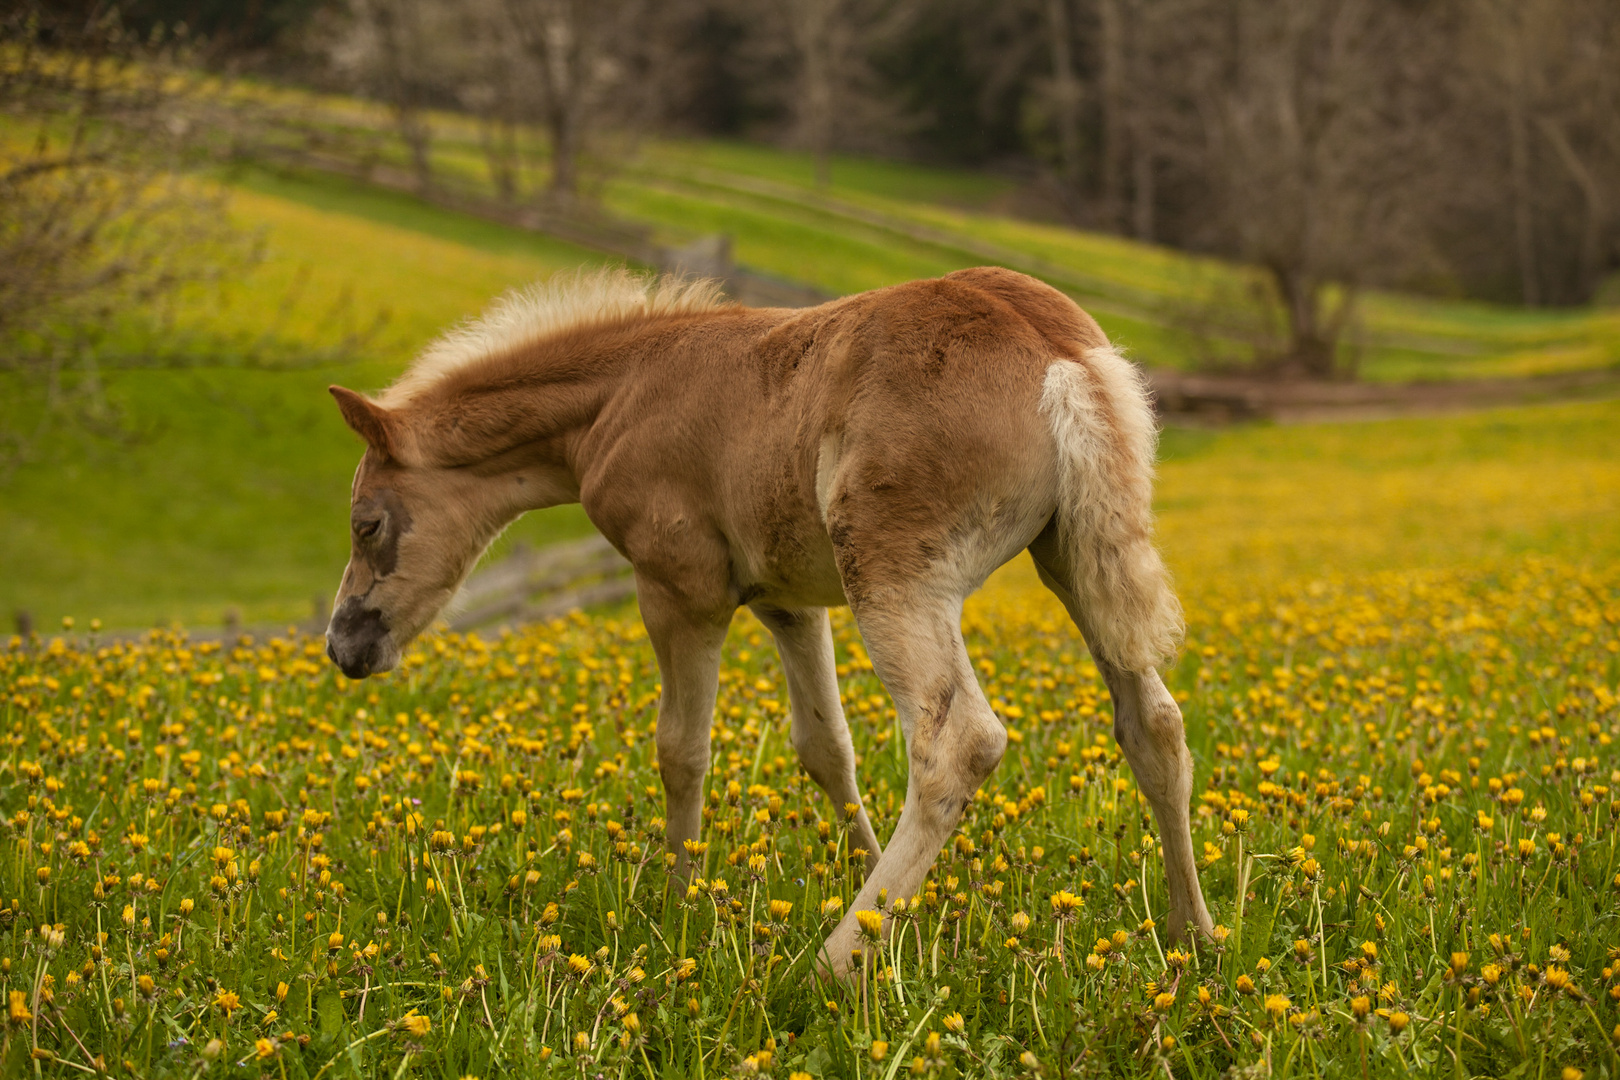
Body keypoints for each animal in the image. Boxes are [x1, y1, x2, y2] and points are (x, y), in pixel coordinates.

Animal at [325, 265, 1218, 977]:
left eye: (367, 523)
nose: (343, 646)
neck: (625, 390)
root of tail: (1058, 353)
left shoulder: (679, 590)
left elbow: (681, 750)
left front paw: (678, 902)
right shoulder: (788, 601)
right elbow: (826, 748)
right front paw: (886, 891)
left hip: (896, 578)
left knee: (958, 742)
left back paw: (832, 966)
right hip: (1070, 561)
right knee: (1153, 725)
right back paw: (1192, 936)